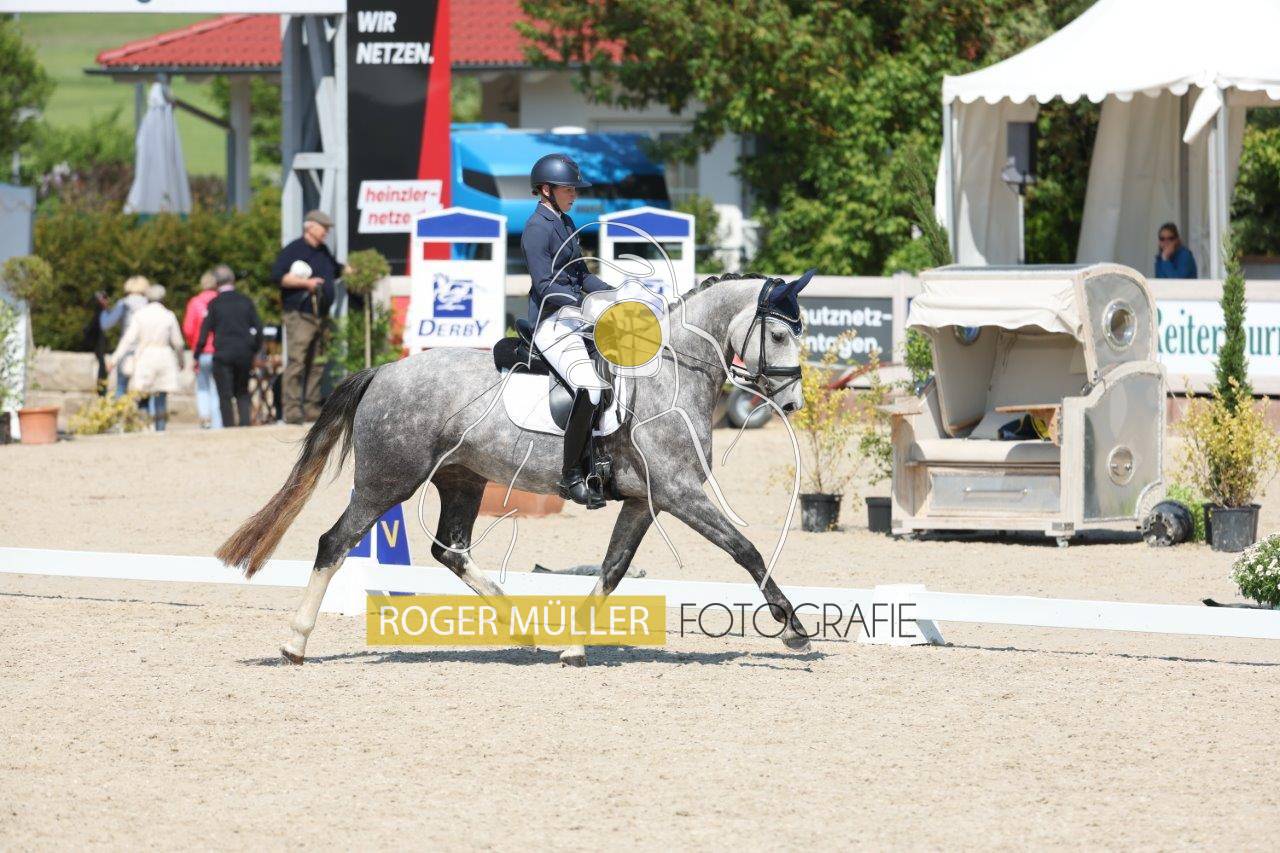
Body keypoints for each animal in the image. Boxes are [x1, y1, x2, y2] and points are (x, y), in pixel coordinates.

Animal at [216, 270, 817, 666]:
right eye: (779, 334)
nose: (791, 404)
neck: (670, 373)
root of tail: (384, 371)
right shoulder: (679, 492)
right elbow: (746, 550)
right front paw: (794, 629)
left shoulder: (647, 500)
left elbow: (613, 570)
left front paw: (573, 645)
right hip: (388, 481)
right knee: (335, 543)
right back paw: (295, 643)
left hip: (462, 479)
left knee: (450, 550)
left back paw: (524, 628)